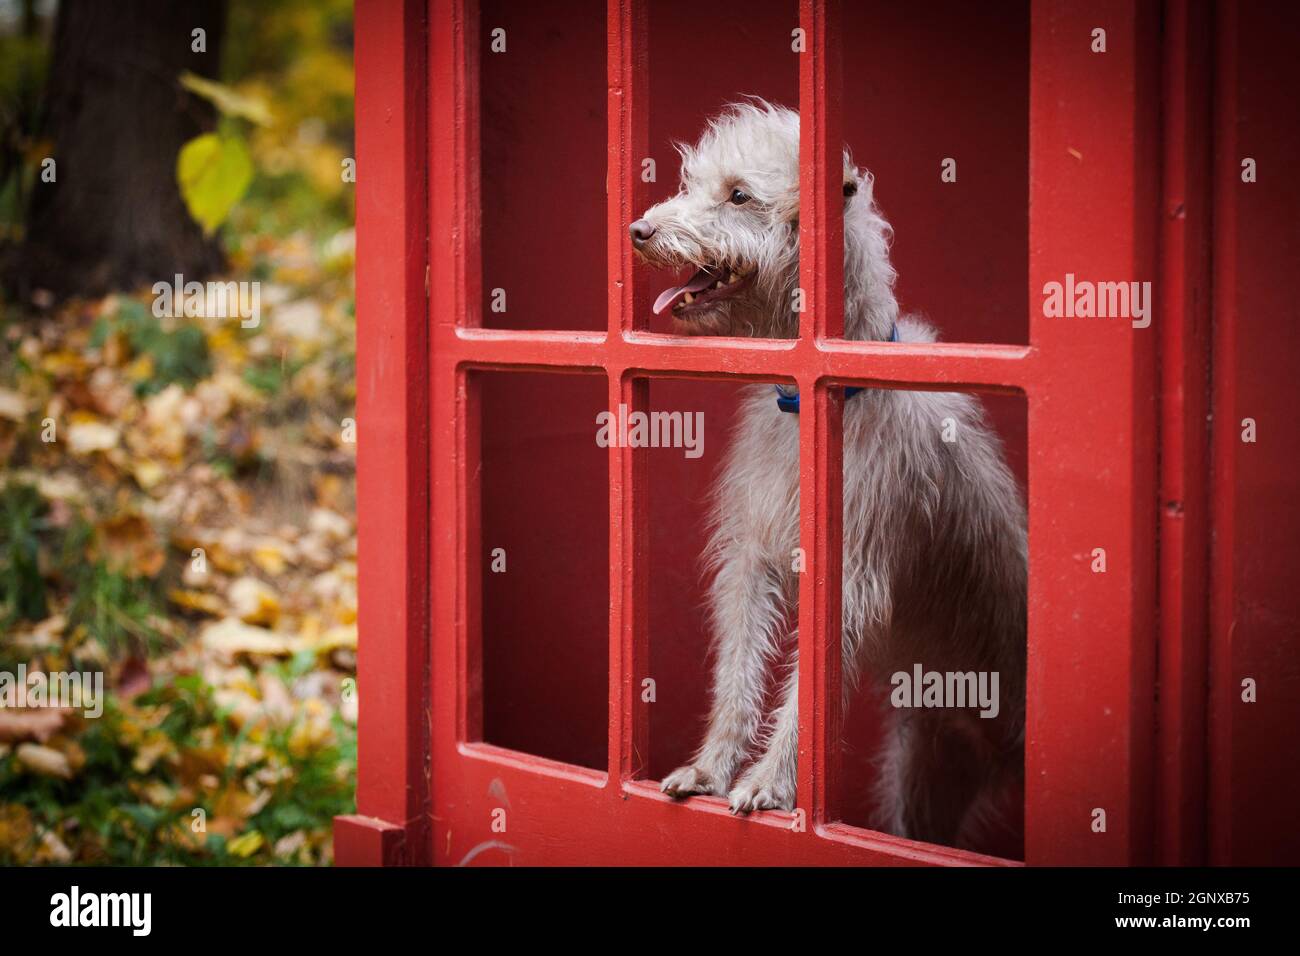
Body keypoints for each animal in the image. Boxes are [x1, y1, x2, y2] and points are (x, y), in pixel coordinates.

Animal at [634, 100, 1029, 842]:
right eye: (692, 181)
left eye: (739, 196)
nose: (638, 231)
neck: (815, 401)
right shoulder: (752, 559)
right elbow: (737, 671)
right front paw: (710, 767)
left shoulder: (851, 575)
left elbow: (805, 693)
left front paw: (770, 782)